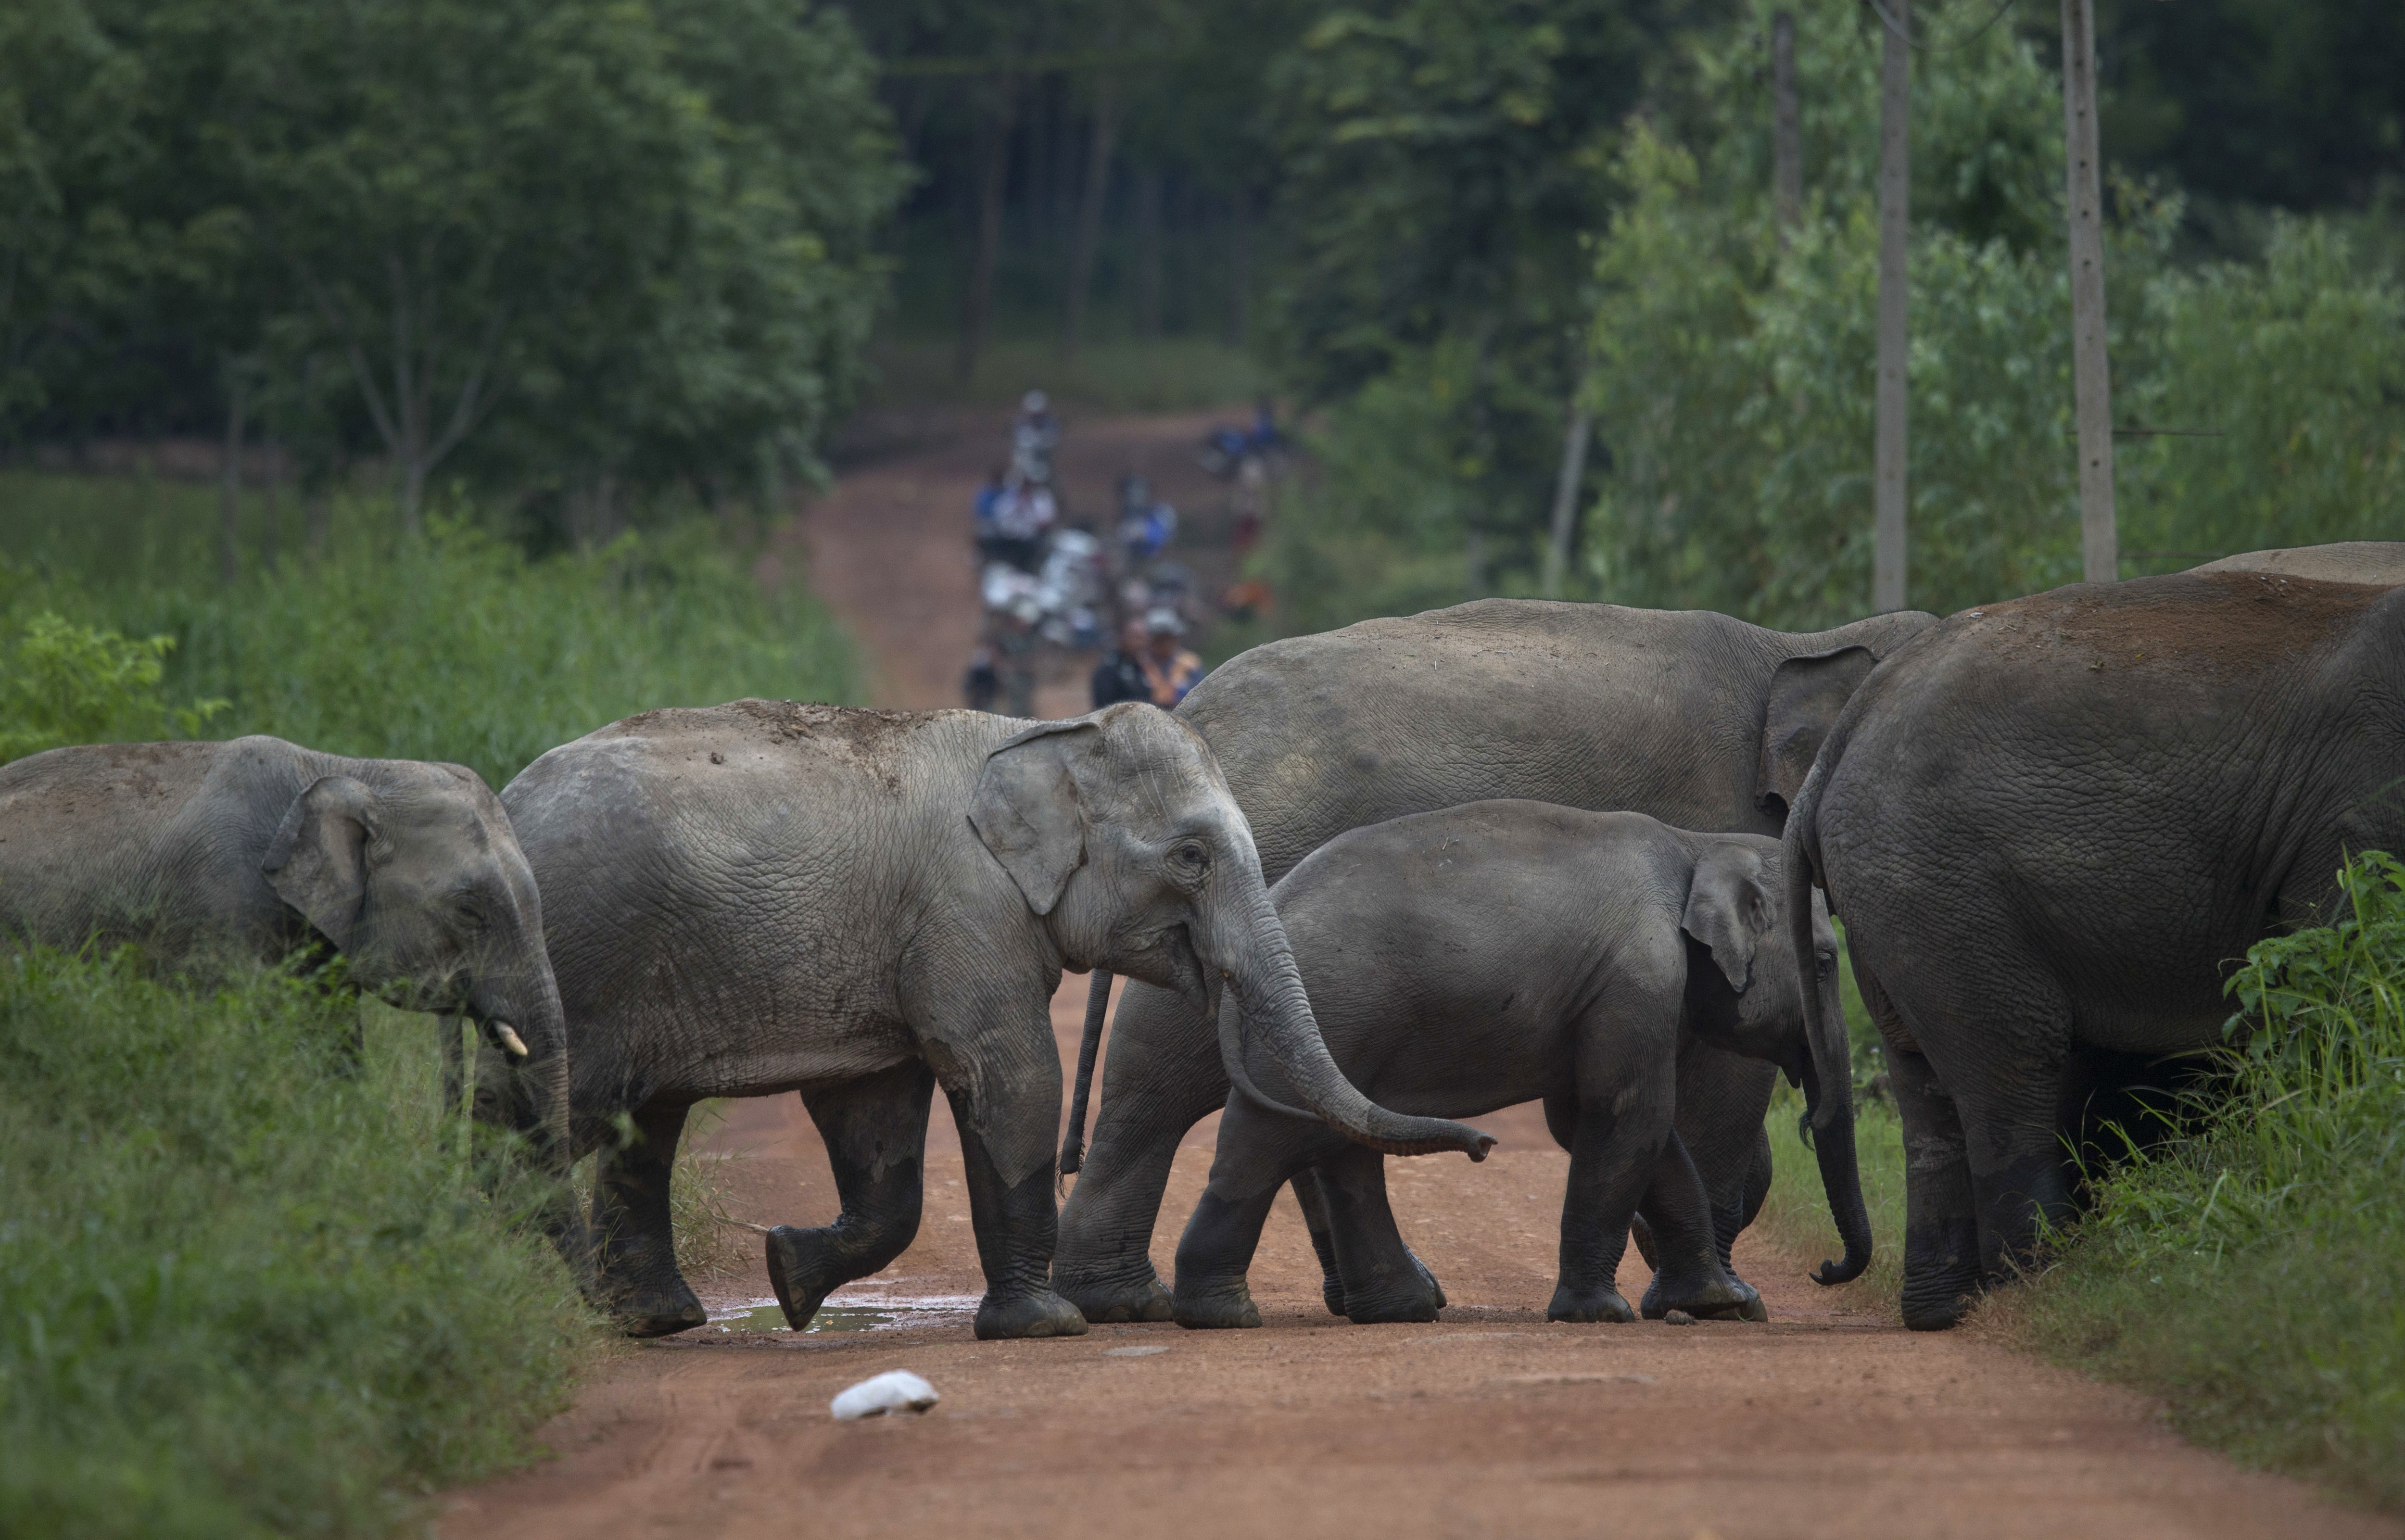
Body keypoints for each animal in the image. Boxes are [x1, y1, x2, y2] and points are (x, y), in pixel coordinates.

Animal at [498, 697, 1491, 1338]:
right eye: (1192, 857)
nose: (1485, 1148)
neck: (1036, 740)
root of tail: (505, 802)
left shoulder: (904, 937)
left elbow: (879, 1121)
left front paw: (789, 1272)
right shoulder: (965, 909)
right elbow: (1011, 1076)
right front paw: (1046, 1324)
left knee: (642, 1125)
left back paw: (654, 1320)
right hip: (587, 959)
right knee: (548, 1114)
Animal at [1174, 799, 1866, 1328]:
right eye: (1824, 962)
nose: (1824, 1270)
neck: (1699, 845)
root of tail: (1267, 909)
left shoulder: (1609, 991)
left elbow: (1600, 1117)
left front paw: (1722, 1303)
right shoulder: (1637, 977)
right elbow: (1627, 1112)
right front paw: (1601, 1314)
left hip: (1335, 1025)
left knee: (1327, 1140)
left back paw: (1397, 1309)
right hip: (1337, 1006)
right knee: (1271, 1141)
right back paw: (1225, 1316)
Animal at [1789, 572, 2405, 1328]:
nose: (1821, 1271)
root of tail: (1843, 735)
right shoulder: (2362, 810)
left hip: (1900, 900)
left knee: (1924, 1087)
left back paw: (1945, 1309)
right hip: (1943, 889)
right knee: (2013, 1065)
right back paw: (2040, 1288)